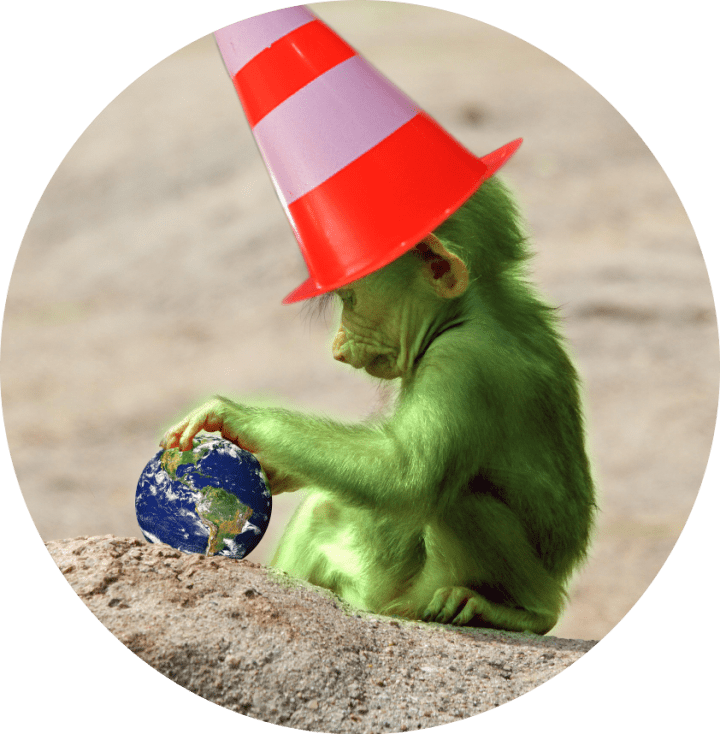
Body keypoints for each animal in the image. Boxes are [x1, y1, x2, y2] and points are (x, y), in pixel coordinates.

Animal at [161, 175, 595, 635]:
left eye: (350, 299)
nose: (336, 347)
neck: (473, 308)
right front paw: (273, 467)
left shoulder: (460, 362)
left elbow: (404, 473)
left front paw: (238, 417)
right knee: (328, 510)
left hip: (427, 590)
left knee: (454, 498)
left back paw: (520, 610)